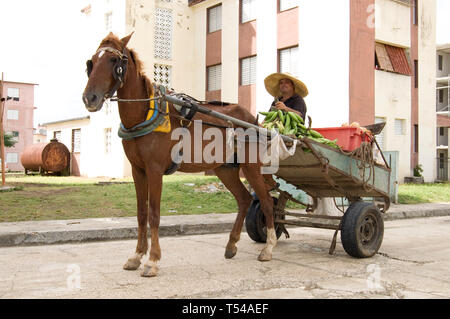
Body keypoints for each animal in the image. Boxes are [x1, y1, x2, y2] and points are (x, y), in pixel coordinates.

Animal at [82, 33, 276, 278]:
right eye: (91, 62)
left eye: (113, 60)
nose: (89, 98)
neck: (144, 114)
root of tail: (253, 120)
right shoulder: (138, 170)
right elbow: (141, 213)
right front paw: (136, 256)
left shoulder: (155, 170)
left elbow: (154, 214)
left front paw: (152, 260)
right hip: (225, 169)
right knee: (243, 199)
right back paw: (231, 245)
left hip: (251, 166)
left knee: (266, 201)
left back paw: (268, 247)